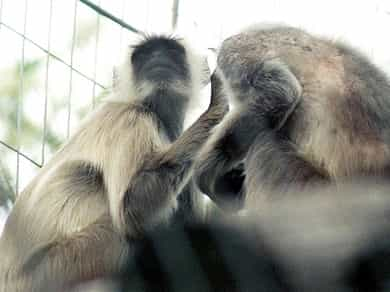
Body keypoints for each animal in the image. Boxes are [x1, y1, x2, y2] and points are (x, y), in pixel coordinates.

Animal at [0, 35, 229, 290]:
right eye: (144, 56)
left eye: (171, 52)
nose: (158, 59)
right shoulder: (131, 117)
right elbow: (132, 212)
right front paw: (221, 103)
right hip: (60, 265)